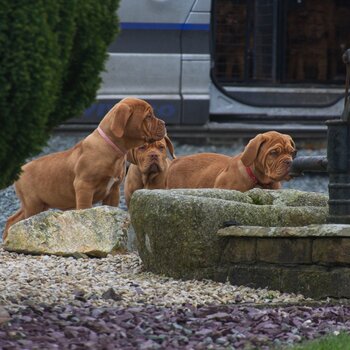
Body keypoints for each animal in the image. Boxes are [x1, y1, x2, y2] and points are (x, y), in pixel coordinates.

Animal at [3, 98, 165, 241]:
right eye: (148, 116)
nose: (164, 123)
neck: (113, 149)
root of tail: (20, 169)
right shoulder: (84, 187)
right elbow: (85, 210)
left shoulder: (113, 191)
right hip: (33, 204)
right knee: (21, 222)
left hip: (37, 204)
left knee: (13, 220)